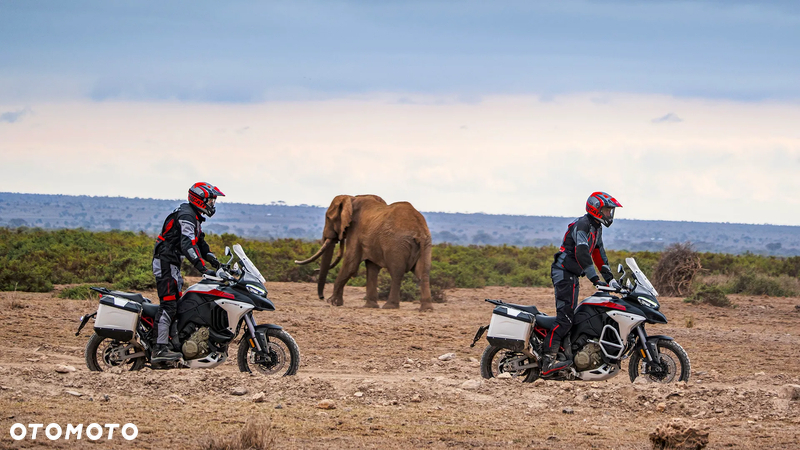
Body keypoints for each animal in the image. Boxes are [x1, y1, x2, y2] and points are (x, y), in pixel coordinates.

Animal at [294, 195, 432, 312]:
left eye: (328, 218)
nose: (322, 298)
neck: (351, 199)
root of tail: (419, 230)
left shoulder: (356, 230)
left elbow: (351, 263)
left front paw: (333, 302)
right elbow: (371, 267)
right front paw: (370, 306)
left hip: (396, 244)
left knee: (396, 272)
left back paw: (389, 307)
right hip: (426, 244)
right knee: (423, 272)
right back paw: (426, 309)